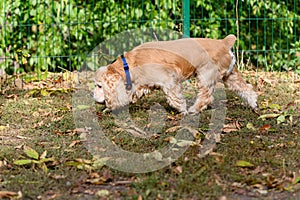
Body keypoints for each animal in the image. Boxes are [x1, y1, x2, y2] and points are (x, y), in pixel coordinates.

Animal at [92, 34, 258, 114]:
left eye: (99, 86)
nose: (91, 94)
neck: (130, 64)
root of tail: (224, 42)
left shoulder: (168, 79)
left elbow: (175, 97)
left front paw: (182, 109)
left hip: (205, 74)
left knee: (205, 97)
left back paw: (193, 110)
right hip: (230, 76)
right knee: (247, 89)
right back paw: (253, 105)